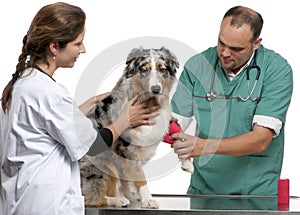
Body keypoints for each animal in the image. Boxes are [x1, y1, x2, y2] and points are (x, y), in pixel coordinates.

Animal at [79, 46, 192, 208]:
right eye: (144, 69)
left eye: (162, 69)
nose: (156, 89)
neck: (149, 101)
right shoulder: (128, 146)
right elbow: (139, 174)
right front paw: (148, 198)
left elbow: (177, 134)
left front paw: (187, 162)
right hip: (104, 165)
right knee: (92, 197)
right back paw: (118, 200)